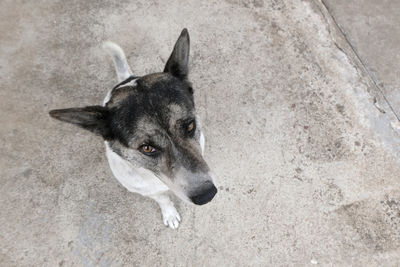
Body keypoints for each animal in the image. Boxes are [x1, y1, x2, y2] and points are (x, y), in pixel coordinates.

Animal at [50, 29, 219, 230]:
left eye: (190, 125)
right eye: (146, 148)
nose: (207, 195)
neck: (152, 175)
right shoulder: (147, 191)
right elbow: (162, 199)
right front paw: (169, 213)